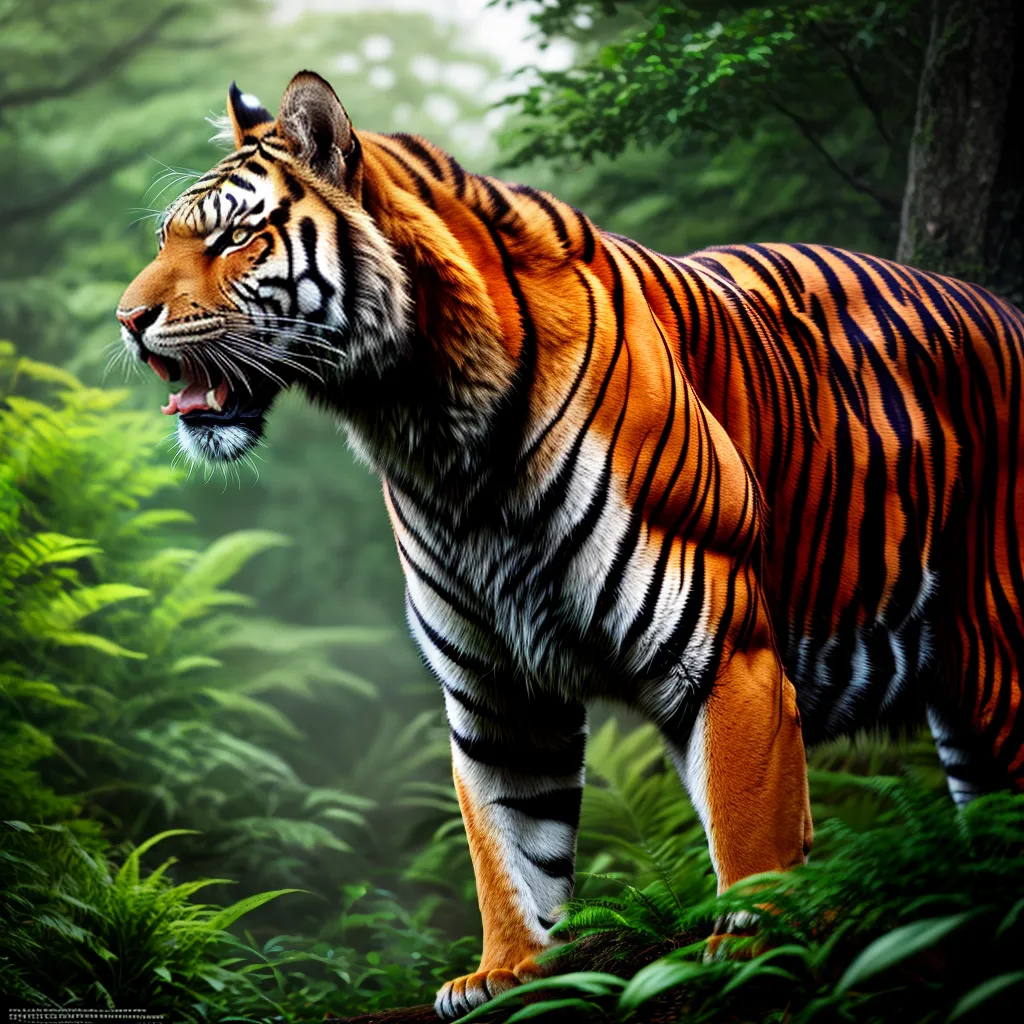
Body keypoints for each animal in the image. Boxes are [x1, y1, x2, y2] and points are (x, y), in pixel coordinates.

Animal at [116, 72, 1024, 1019]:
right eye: (168, 236)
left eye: (232, 236)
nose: (128, 320)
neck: (430, 430)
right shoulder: (493, 690)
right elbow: (510, 848)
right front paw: (507, 973)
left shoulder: (728, 652)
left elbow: (750, 829)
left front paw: (751, 953)